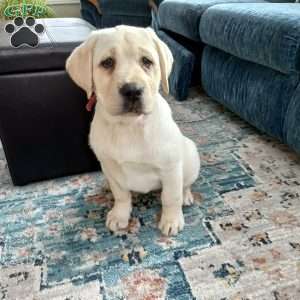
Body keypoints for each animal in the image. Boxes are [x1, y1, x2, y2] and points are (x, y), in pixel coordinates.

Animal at [65, 25, 199, 236]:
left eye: (146, 61)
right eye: (107, 62)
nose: (133, 90)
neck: (129, 126)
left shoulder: (170, 167)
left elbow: (170, 196)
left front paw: (171, 220)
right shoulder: (110, 166)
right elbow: (121, 195)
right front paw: (120, 215)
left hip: (190, 157)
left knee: (184, 184)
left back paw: (186, 195)